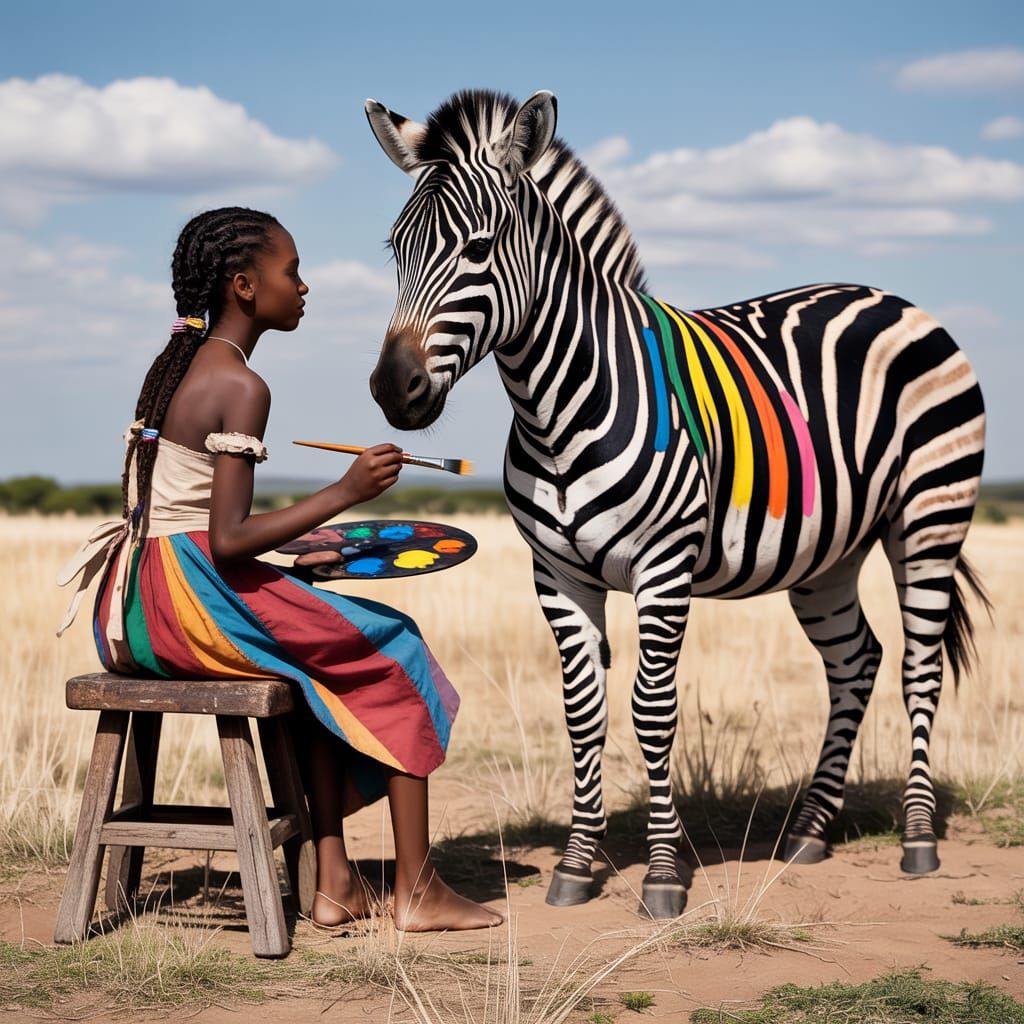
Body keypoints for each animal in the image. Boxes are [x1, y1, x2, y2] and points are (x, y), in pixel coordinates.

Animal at [364, 89, 988, 918]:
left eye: (479, 248)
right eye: (395, 249)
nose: (391, 390)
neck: (558, 406)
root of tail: (897, 300)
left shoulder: (664, 568)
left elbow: (652, 712)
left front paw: (662, 877)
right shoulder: (557, 575)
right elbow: (583, 713)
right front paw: (576, 866)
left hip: (929, 516)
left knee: (920, 664)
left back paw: (917, 841)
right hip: (829, 553)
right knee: (857, 660)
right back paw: (810, 831)